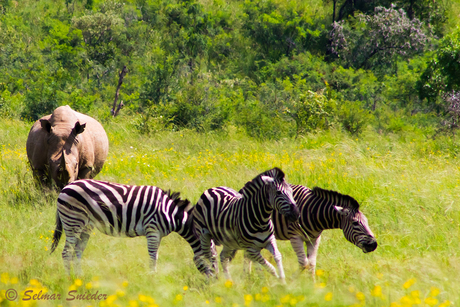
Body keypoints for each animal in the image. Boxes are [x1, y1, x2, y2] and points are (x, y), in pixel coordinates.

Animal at [49, 178, 209, 276]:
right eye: (212, 258)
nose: (213, 285)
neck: (170, 212)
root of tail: (66, 187)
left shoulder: (157, 234)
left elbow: (155, 255)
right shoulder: (152, 230)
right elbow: (153, 256)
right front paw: (152, 277)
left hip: (85, 226)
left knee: (77, 252)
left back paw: (79, 278)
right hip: (73, 221)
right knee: (66, 253)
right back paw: (69, 279)